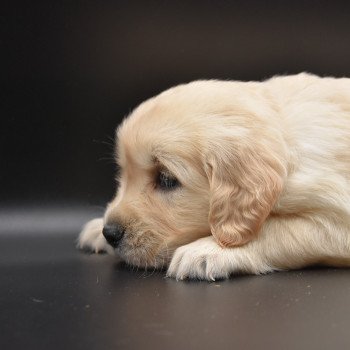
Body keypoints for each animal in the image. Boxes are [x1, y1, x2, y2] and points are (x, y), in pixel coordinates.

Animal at [78, 74, 350, 282]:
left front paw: (206, 250)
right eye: (124, 175)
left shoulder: (336, 217)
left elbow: (278, 229)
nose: (110, 233)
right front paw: (95, 229)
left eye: (166, 179)